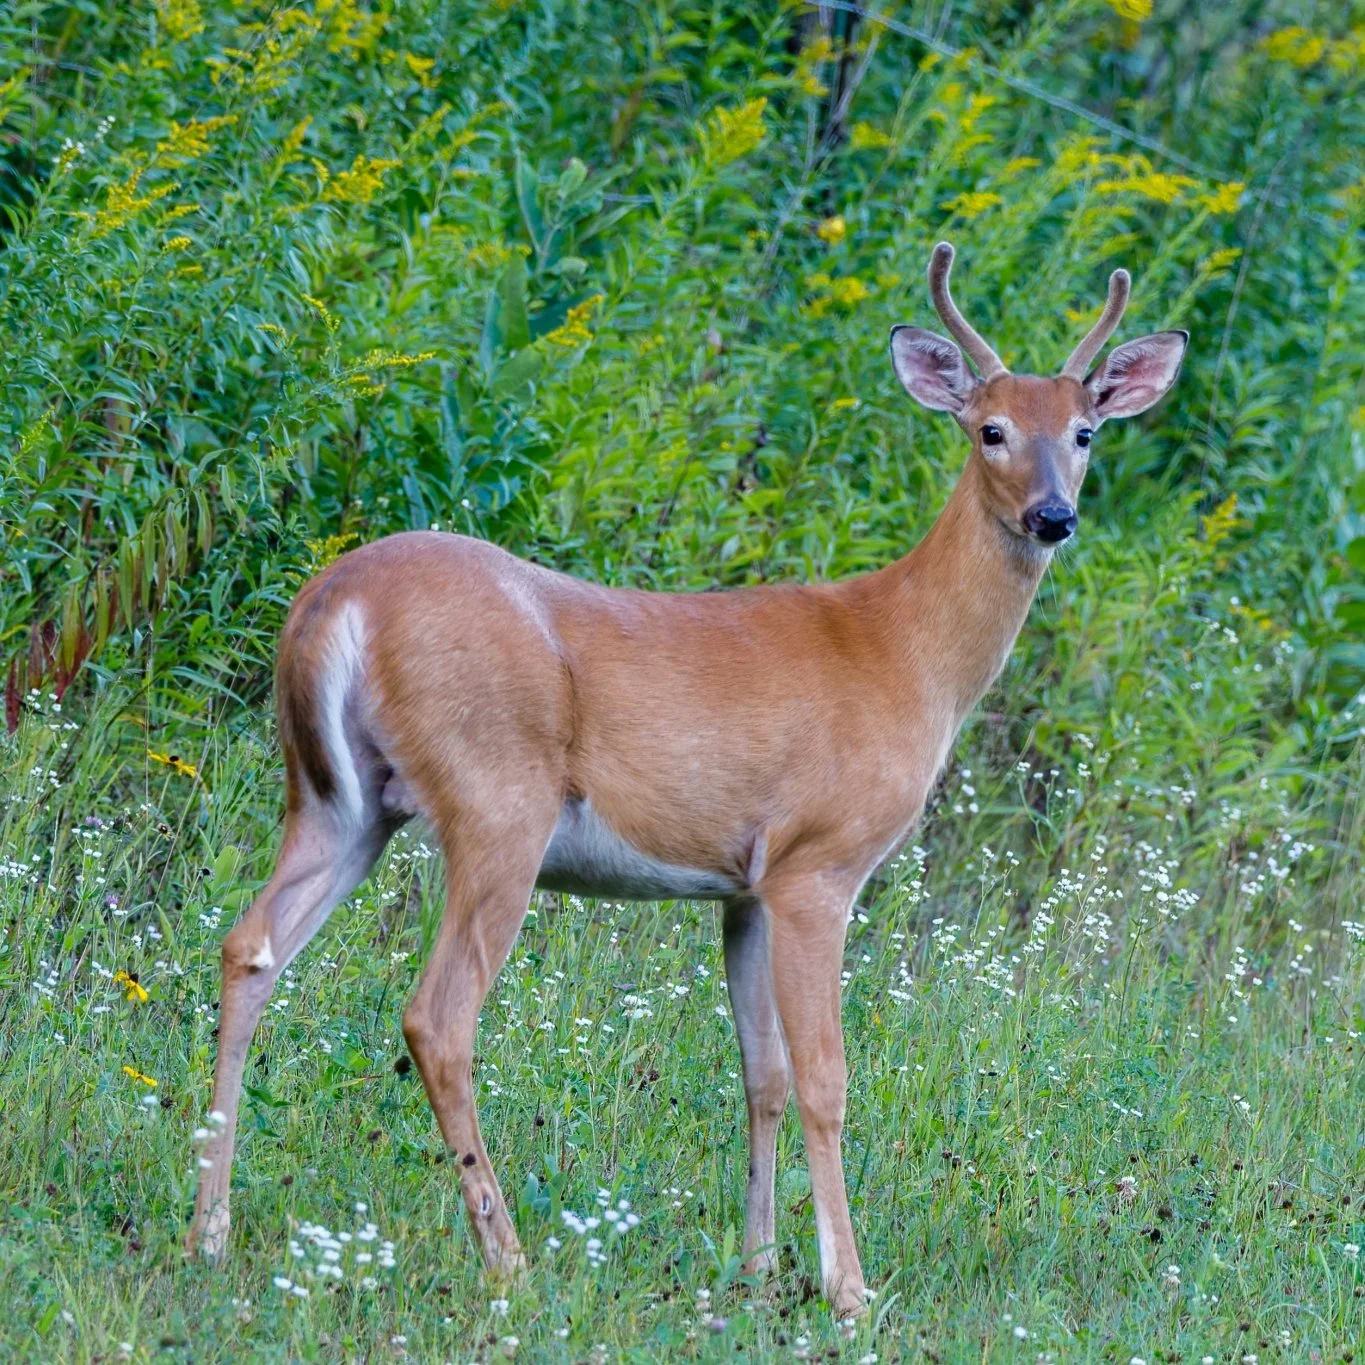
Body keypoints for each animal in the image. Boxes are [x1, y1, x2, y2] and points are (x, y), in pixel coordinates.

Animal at [186, 242, 1186, 1317]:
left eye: (1083, 431)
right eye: (990, 428)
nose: (1052, 515)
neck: (905, 652)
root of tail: (335, 600)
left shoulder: (742, 887)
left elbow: (763, 1075)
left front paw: (755, 1265)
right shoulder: (816, 865)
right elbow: (825, 1078)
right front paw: (847, 1287)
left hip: (339, 800)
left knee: (250, 947)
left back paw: (210, 1229)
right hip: (497, 798)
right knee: (437, 1015)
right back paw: (510, 1259)